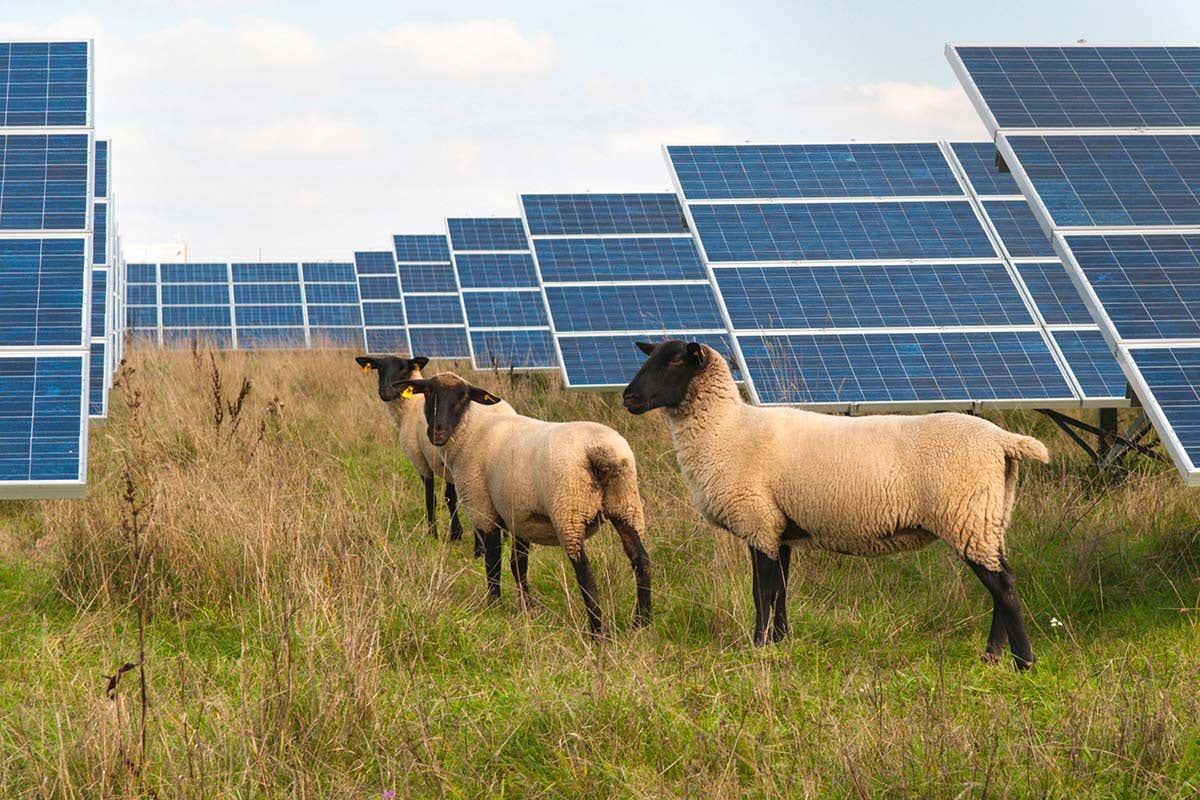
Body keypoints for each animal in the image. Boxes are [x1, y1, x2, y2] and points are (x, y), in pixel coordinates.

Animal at [394, 372, 651, 635]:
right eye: (428, 393)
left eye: (463, 397)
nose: (438, 433)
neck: (471, 430)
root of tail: (602, 453)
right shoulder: (520, 515)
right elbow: (518, 564)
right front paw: (527, 606)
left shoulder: (482, 507)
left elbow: (493, 560)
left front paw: (494, 604)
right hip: (626, 504)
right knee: (640, 560)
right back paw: (642, 622)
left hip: (569, 510)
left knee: (586, 572)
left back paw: (598, 632)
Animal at [621, 340, 1049, 669]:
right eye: (650, 355)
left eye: (674, 361)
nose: (628, 397)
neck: (726, 430)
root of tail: (1003, 441)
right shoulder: (779, 527)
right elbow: (781, 590)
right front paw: (781, 642)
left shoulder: (757, 520)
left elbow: (762, 591)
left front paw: (757, 646)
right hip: (990, 517)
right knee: (1001, 583)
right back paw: (992, 657)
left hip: (966, 515)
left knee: (1004, 586)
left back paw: (1023, 662)